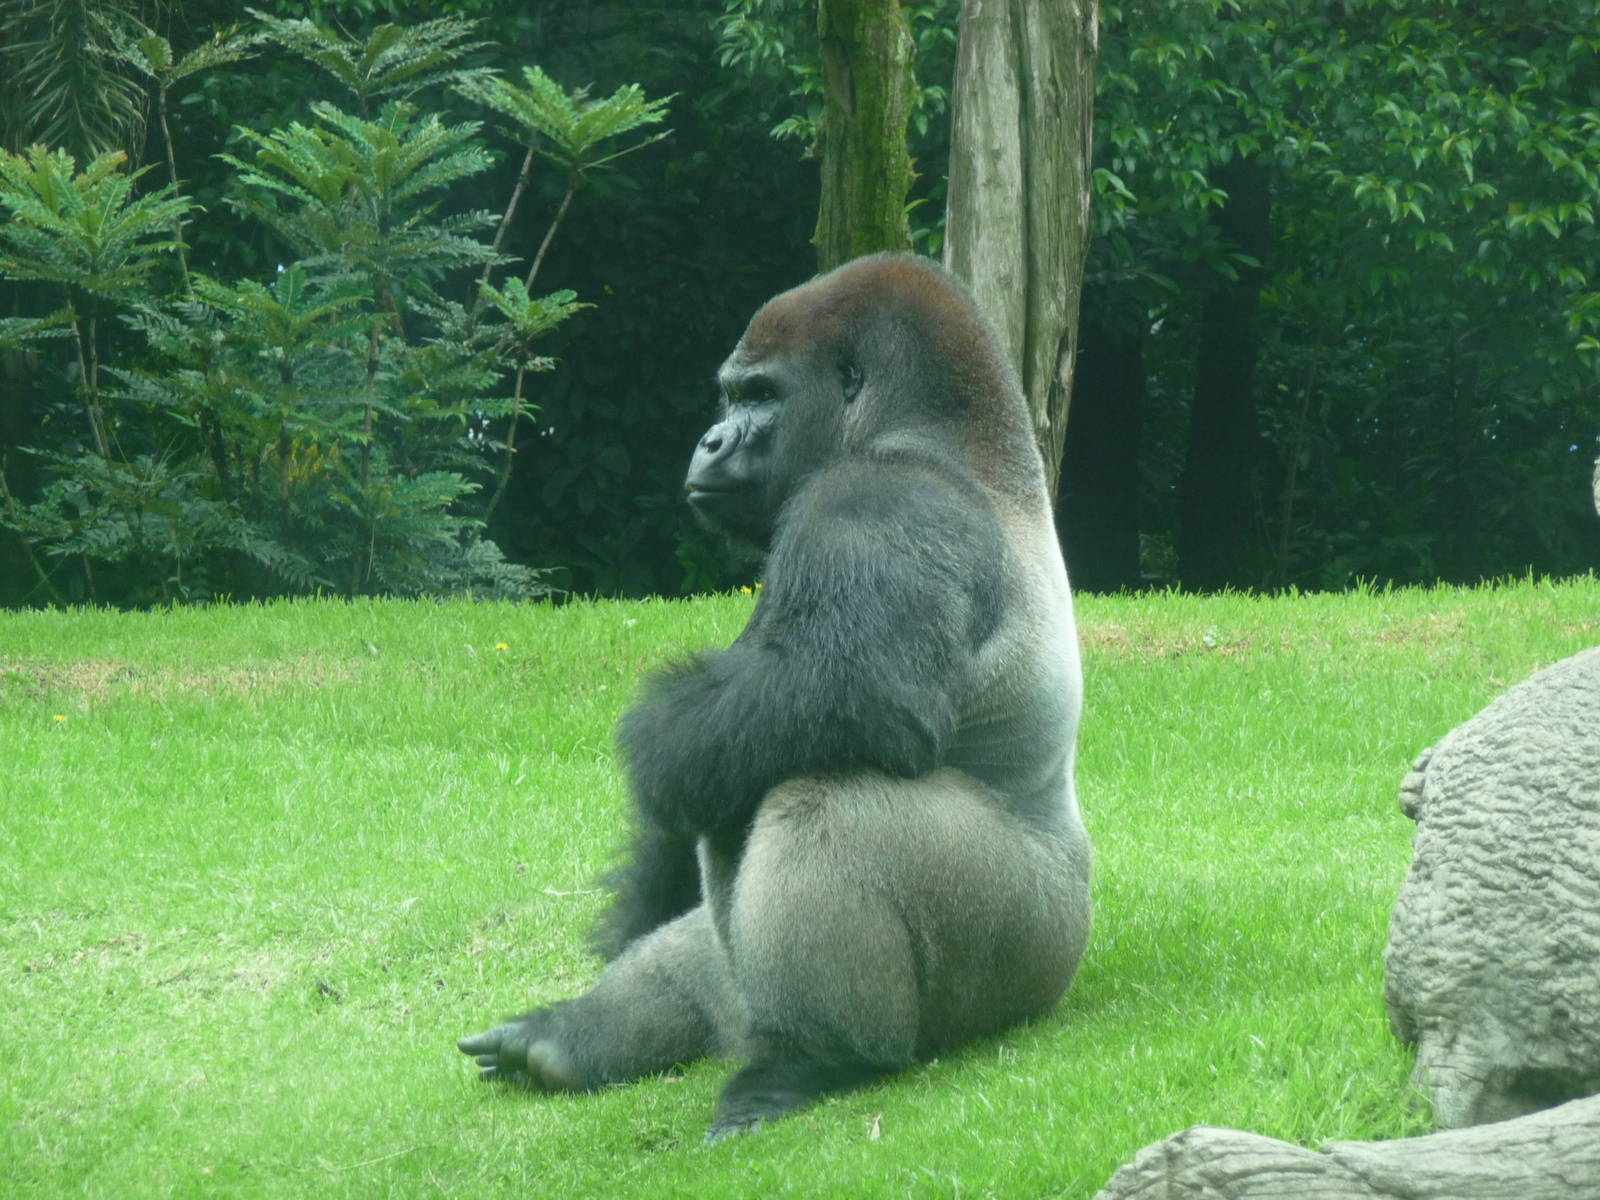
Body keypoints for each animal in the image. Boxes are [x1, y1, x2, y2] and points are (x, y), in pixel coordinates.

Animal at [459, 253, 1091, 1143]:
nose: (711, 439)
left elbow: (850, 696)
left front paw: (655, 740)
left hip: (1026, 948)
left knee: (819, 799)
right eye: (731, 398)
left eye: (758, 396)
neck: (942, 437)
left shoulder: (877, 498)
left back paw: (815, 1060)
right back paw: (573, 1037)